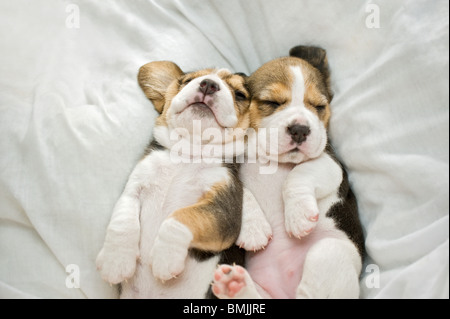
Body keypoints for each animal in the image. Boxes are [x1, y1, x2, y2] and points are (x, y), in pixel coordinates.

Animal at [95, 61, 251, 298]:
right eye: (187, 81)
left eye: (240, 94)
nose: (208, 84)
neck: (187, 155)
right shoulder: (133, 189)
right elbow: (122, 221)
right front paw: (116, 261)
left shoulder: (225, 210)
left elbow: (181, 216)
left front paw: (165, 256)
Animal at [212, 46, 366, 298]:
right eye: (271, 102)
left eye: (319, 106)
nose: (300, 129)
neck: (272, 160)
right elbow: (241, 190)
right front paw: (254, 228)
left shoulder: (331, 164)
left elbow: (298, 174)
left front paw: (298, 215)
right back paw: (234, 285)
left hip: (328, 252)